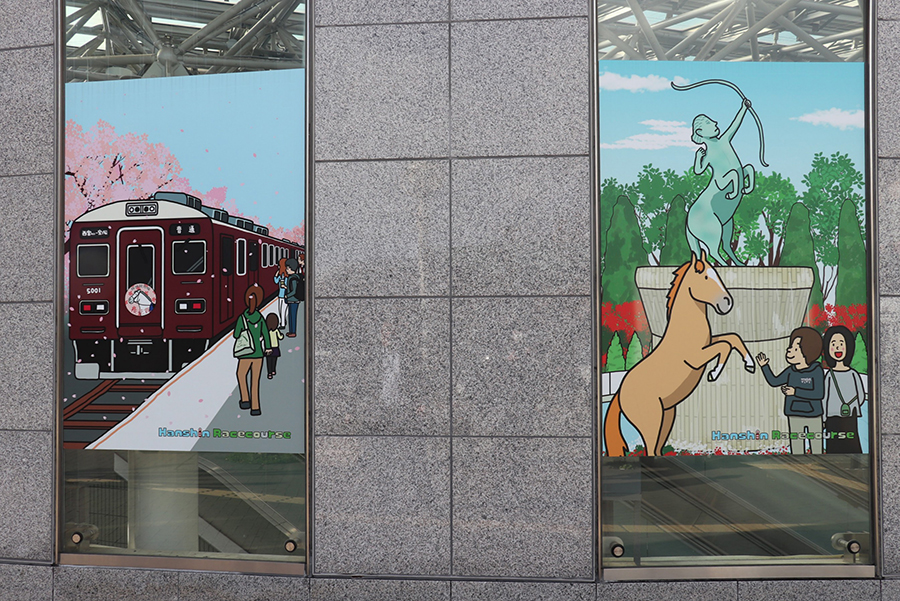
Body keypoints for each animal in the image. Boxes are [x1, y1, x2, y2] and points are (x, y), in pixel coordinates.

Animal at [604, 251, 755, 457]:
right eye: (706, 277)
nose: (727, 303)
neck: (685, 327)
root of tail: (619, 393)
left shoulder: (708, 343)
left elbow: (733, 338)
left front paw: (750, 364)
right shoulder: (697, 358)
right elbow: (725, 346)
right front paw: (714, 373)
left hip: (667, 416)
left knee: (657, 449)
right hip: (651, 421)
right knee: (650, 449)